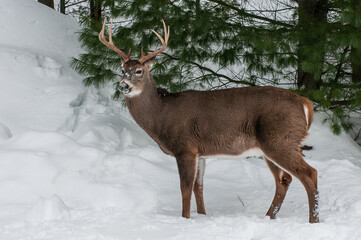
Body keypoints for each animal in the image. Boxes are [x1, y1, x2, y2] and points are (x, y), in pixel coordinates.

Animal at [97, 18, 318, 223]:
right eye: (122, 70)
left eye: (139, 71)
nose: (123, 86)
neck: (161, 114)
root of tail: (304, 103)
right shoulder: (200, 152)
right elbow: (199, 187)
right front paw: (202, 215)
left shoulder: (184, 147)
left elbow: (185, 188)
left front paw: (185, 219)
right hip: (272, 146)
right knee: (284, 180)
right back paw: (268, 217)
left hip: (280, 140)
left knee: (309, 174)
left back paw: (312, 220)